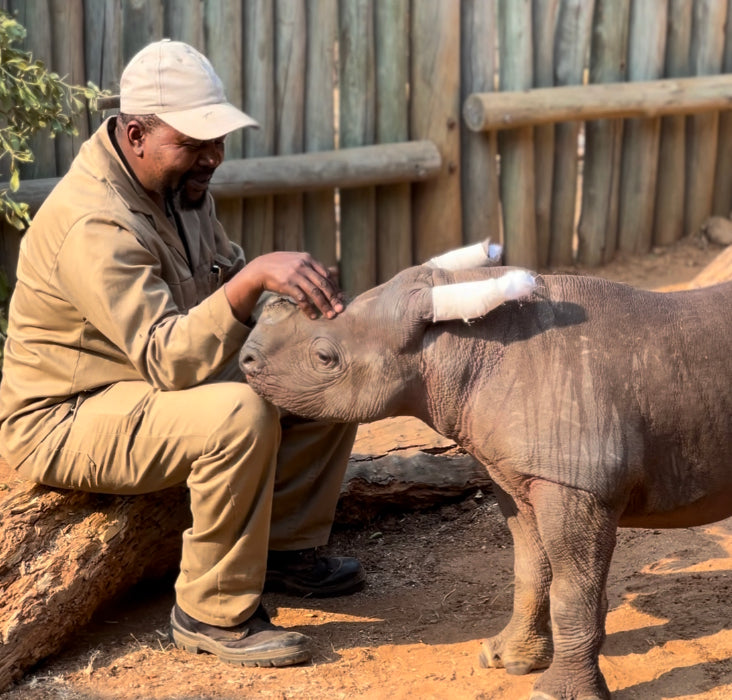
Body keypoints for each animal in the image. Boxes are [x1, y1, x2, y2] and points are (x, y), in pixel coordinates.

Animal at [239, 240, 732, 700]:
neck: (457, 347)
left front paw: (553, 692)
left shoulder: (576, 483)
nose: (245, 360)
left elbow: (573, 589)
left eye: (325, 358)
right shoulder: (517, 473)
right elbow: (531, 567)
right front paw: (506, 659)